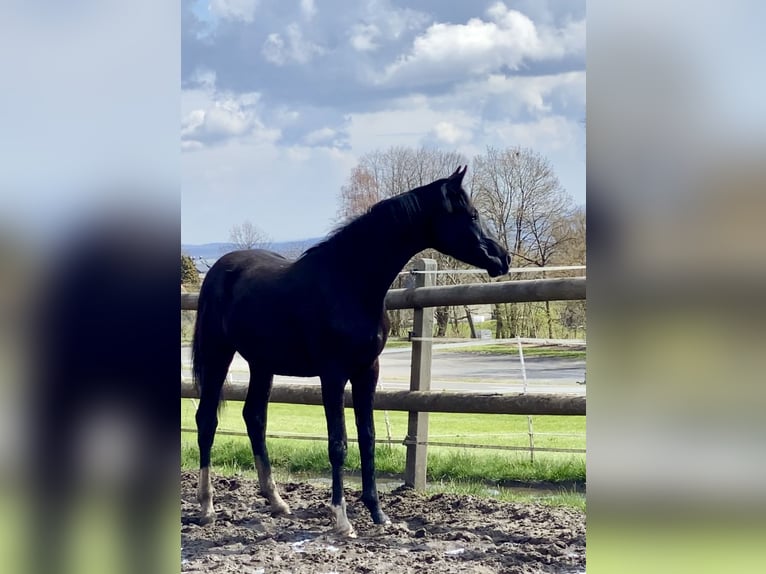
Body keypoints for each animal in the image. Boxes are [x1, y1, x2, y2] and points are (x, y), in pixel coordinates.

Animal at [192, 165, 510, 536]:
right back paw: (207, 507)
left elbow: (368, 437)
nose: (503, 258)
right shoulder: (333, 374)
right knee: (206, 420)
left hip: (262, 363)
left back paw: (277, 502)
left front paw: (378, 514)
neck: (350, 281)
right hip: (218, 354)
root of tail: (219, 269)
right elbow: (338, 443)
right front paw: (342, 520)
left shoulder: (367, 370)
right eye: (471, 214)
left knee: (254, 418)